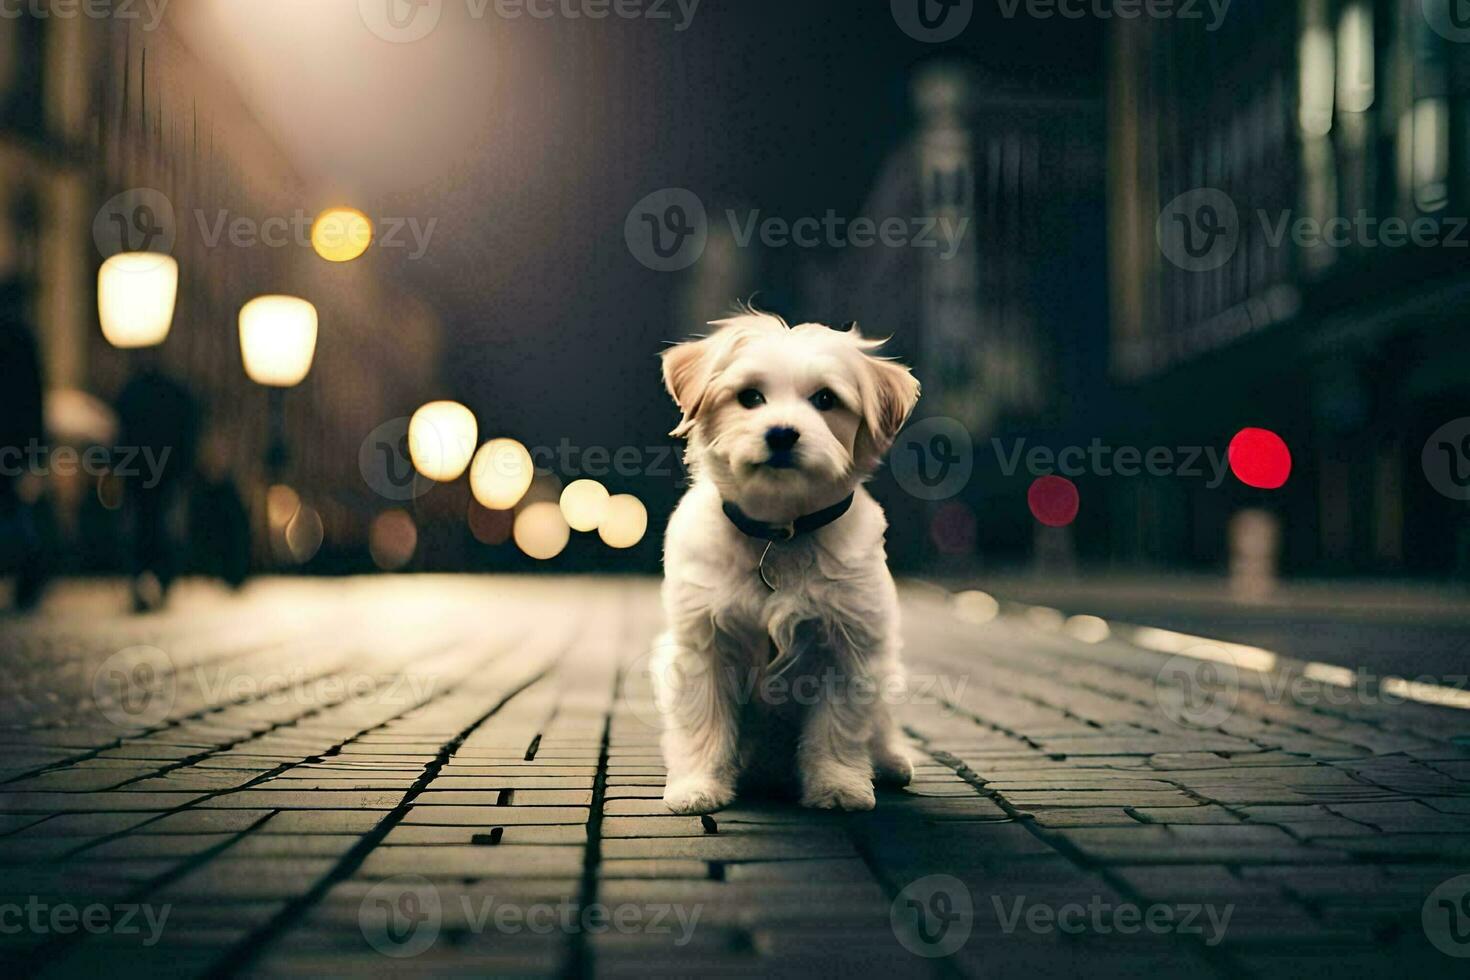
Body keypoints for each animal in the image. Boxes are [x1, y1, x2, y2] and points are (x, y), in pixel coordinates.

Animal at [655, 308, 917, 811]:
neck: (780, 533)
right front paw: (698, 784)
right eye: (749, 397)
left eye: (825, 399)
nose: (780, 434)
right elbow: (704, 725)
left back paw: (891, 760)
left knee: (881, 725)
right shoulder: (703, 647)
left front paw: (838, 785)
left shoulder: (849, 648)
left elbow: (837, 729)